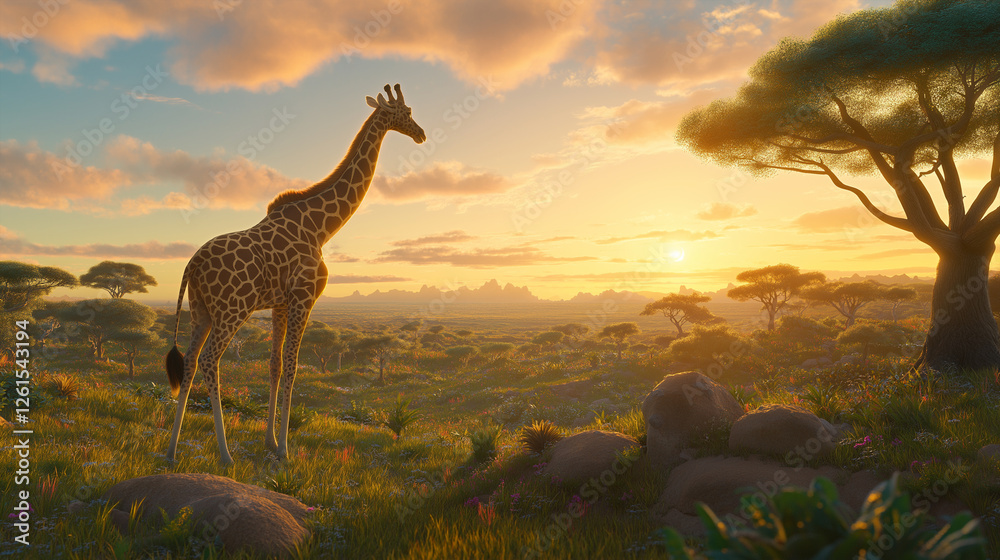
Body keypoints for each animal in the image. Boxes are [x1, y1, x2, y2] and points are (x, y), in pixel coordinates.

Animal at [165, 84, 425, 465]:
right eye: (405, 112)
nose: (421, 134)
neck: (320, 227)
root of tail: (191, 265)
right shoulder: (304, 296)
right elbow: (292, 366)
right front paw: (285, 451)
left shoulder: (280, 302)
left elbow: (274, 364)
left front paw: (270, 441)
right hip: (231, 311)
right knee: (211, 360)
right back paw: (225, 454)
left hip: (201, 311)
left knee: (190, 362)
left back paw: (170, 450)